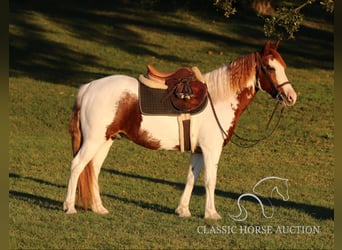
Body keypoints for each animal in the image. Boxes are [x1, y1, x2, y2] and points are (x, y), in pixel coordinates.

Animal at [63, 40, 296, 219]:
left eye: (283, 66)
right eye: (271, 67)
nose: (291, 97)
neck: (217, 99)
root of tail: (88, 88)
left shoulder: (198, 151)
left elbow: (191, 178)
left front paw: (183, 210)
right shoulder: (211, 150)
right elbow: (210, 180)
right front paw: (211, 214)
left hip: (106, 140)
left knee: (93, 169)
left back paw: (99, 208)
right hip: (93, 141)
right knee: (77, 166)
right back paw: (69, 207)